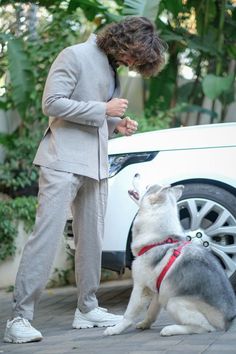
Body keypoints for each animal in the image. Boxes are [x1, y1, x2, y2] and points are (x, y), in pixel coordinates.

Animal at [105, 176, 236, 336]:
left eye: (147, 186)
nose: (136, 174)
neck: (159, 240)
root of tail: (227, 321)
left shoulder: (141, 287)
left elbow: (129, 314)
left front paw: (116, 329)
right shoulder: (158, 290)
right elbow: (152, 311)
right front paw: (145, 323)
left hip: (174, 301)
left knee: (204, 327)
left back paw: (171, 329)